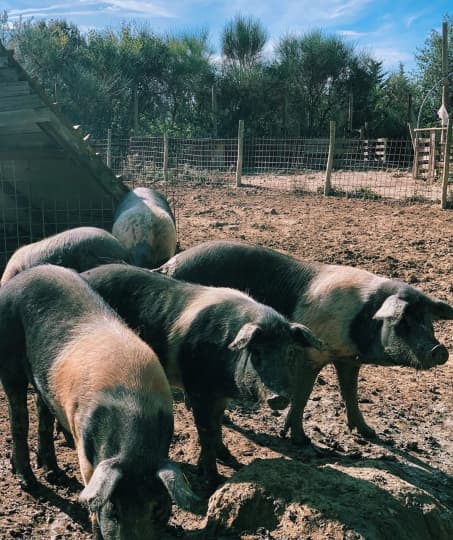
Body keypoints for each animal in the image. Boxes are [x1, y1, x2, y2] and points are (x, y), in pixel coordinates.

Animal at [0, 266, 198, 540]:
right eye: (114, 510)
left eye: (158, 509)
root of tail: (15, 281)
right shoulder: (84, 447)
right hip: (10, 363)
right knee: (19, 419)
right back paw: (29, 481)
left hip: (44, 382)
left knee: (44, 414)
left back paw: (55, 474)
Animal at [80, 264, 322, 488]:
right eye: (257, 353)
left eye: (290, 352)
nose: (278, 397)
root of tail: (86, 273)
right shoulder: (198, 390)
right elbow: (206, 432)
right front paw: (212, 480)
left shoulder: (220, 395)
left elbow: (217, 425)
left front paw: (227, 458)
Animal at [156, 243, 452, 446]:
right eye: (403, 321)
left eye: (428, 320)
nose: (439, 350)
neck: (361, 318)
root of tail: (169, 264)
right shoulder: (311, 355)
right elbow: (303, 394)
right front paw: (301, 440)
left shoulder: (347, 358)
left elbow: (350, 393)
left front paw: (369, 434)